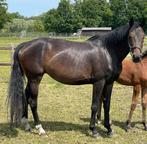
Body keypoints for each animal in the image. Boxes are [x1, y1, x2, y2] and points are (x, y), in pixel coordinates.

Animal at [7, 18, 145, 137]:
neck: (107, 52)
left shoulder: (109, 83)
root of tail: (25, 45)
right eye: (130, 36)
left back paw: (27, 125)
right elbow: (95, 105)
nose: (137, 57)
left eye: (143, 36)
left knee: (25, 96)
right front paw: (94, 130)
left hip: (31, 80)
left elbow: (107, 105)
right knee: (33, 101)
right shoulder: (99, 82)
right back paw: (40, 129)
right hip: (35, 79)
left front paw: (109, 130)